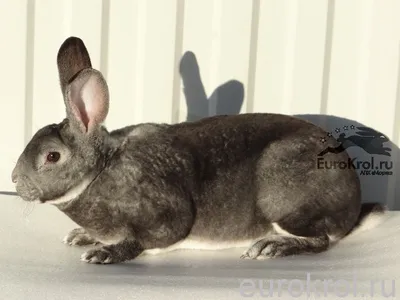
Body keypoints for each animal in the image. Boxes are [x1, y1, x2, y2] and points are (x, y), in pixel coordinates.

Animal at [10, 36, 386, 264]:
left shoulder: (167, 214)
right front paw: (81, 237)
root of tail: (353, 206)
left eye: (52, 156)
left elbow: (147, 238)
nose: (14, 179)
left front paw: (105, 254)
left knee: (320, 239)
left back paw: (270, 247)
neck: (99, 171)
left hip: (284, 199)